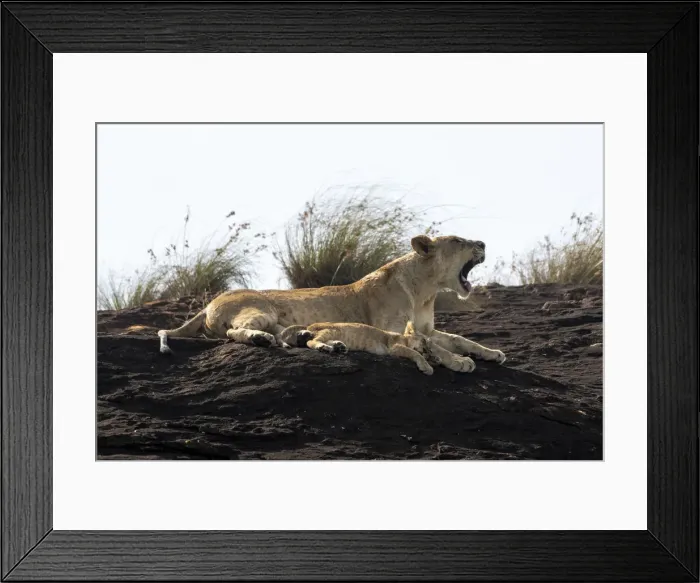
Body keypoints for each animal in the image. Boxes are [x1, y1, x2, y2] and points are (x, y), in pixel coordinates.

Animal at [157, 235, 506, 370]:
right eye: (458, 241)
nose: (483, 242)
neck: (425, 291)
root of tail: (208, 303)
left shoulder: (426, 327)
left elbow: (458, 338)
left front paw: (492, 352)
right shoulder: (395, 330)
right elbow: (434, 346)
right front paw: (458, 362)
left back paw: (302, 337)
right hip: (262, 310)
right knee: (236, 333)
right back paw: (261, 338)